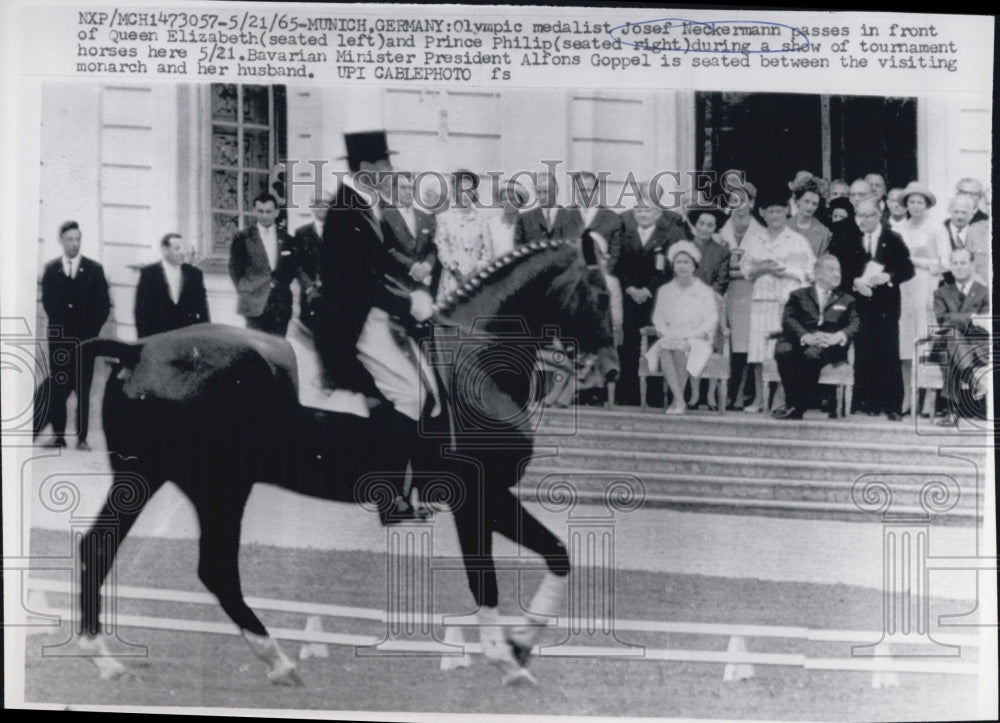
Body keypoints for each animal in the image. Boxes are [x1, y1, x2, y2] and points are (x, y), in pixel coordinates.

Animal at [72, 235, 616, 688]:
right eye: (601, 294)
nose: (610, 371)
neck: (477, 361)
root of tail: (137, 348)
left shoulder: (486, 498)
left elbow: (557, 554)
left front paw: (520, 643)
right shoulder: (476, 497)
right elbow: (492, 577)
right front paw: (507, 656)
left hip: (171, 480)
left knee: (133, 554)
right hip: (206, 484)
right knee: (192, 564)